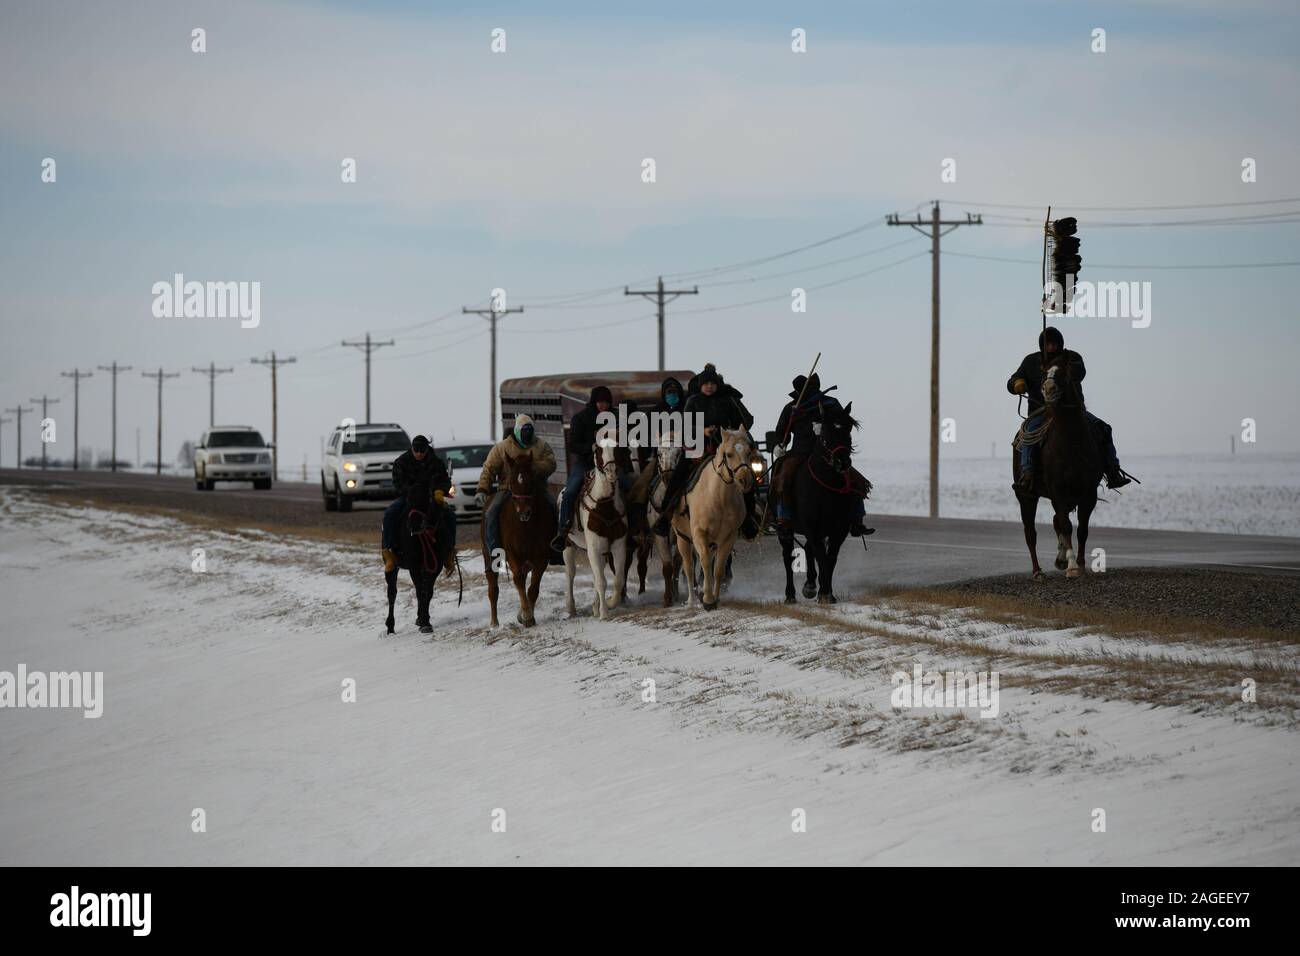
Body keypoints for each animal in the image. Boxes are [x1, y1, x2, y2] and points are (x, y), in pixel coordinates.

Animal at [480, 455, 556, 629]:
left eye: (531, 482)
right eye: (512, 484)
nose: (524, 512)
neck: (525, 526)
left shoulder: (541, 557)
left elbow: (533, 588)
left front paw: (527, 616)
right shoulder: (512, 553)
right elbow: (519, 580)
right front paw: (527, 615)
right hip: (489, 556)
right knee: (493, 588)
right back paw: (494, 623)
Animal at [564, 439, 629, 621]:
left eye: (617, 450)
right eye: (598, 452)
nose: (611, 471)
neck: (604, 506)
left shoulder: (618, 546)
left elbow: (618, 579)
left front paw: (610, 603)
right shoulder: (593, 548)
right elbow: (601, 581)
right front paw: (604, 613)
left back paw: (594, 606)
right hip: (568, 546)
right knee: (570, 574)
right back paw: (571, 608)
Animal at [676, 429, 759, 608]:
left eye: (749, 452)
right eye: (728, 454)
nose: (745, 480)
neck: (719, 498)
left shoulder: (729, 537)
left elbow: (718, 568)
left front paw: (715, 597)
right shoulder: (699, 534)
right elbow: (706, 562)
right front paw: (707, 599)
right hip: (682, 538)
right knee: (689, 566)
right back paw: (692, 600)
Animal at [1008, 351, 1102, 574]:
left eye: (1063, 374)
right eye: (1044, 374)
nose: (1048, 389)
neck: (1071, 441)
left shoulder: (1089, 493)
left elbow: (1082, 529)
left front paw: (1081, 564)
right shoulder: (1058, 491)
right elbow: (1066, 525)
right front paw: (1072, 566)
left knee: (1057, 521)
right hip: (1026, 496)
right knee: (1031, 532)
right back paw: (1037, 571)